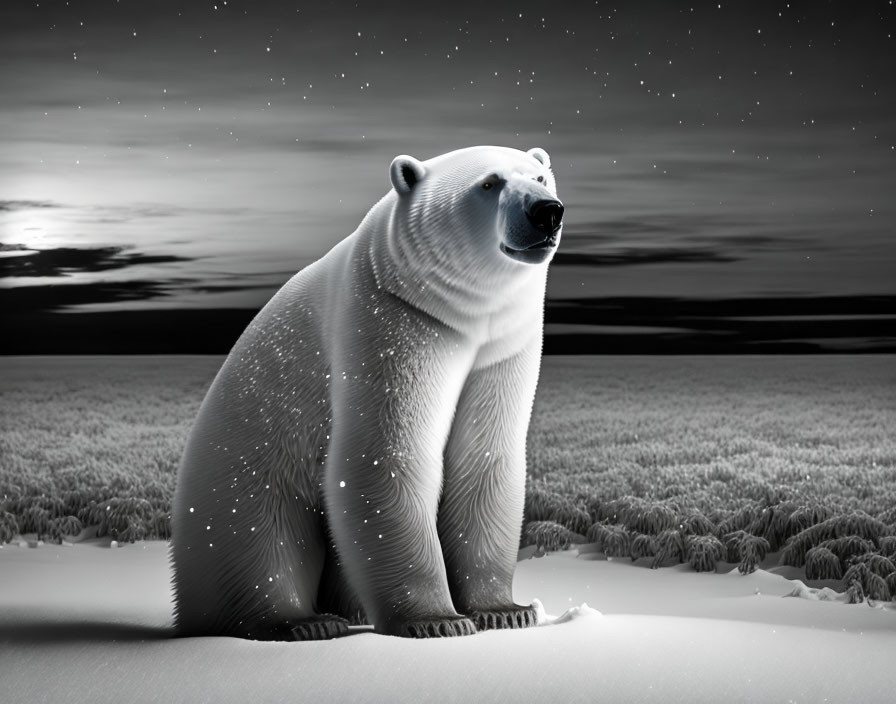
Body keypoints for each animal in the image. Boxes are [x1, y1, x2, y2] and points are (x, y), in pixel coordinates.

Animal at [172, 146, 564, 640]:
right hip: (245, 464)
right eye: (489, 183)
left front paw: (505, 611)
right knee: (259, 540)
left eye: (540, 178)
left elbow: (483, 460)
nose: (546, 212)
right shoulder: (392, 322)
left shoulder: (505, 344)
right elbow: (383, 458)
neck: (464, 316)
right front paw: (436, 620)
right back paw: (304, 622)